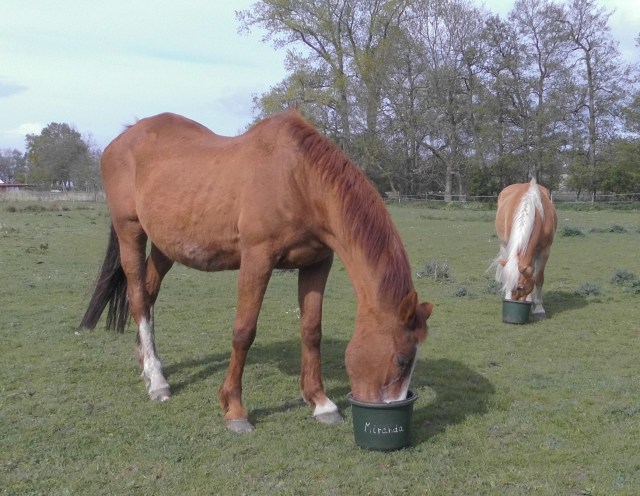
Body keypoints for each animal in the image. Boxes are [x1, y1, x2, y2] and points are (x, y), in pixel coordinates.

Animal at [80, 109, 433, 433]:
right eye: (401, 359)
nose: (394, 405)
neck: (298, 179)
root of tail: (122, 138)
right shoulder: (257, 259)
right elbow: (243, 332)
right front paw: (235, 410)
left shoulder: (317, 263)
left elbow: (311, 330)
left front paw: (321, 404)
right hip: (130, 232)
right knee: (139, 300)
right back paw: (157, 381)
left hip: (166, 247)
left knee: (149, 297)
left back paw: (148, 364)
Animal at [493, 178, 557, 319]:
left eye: (520, 288)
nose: (510, 302)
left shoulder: (544, 251)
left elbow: (538, 278)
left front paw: (538, 309)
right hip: (503, 245)